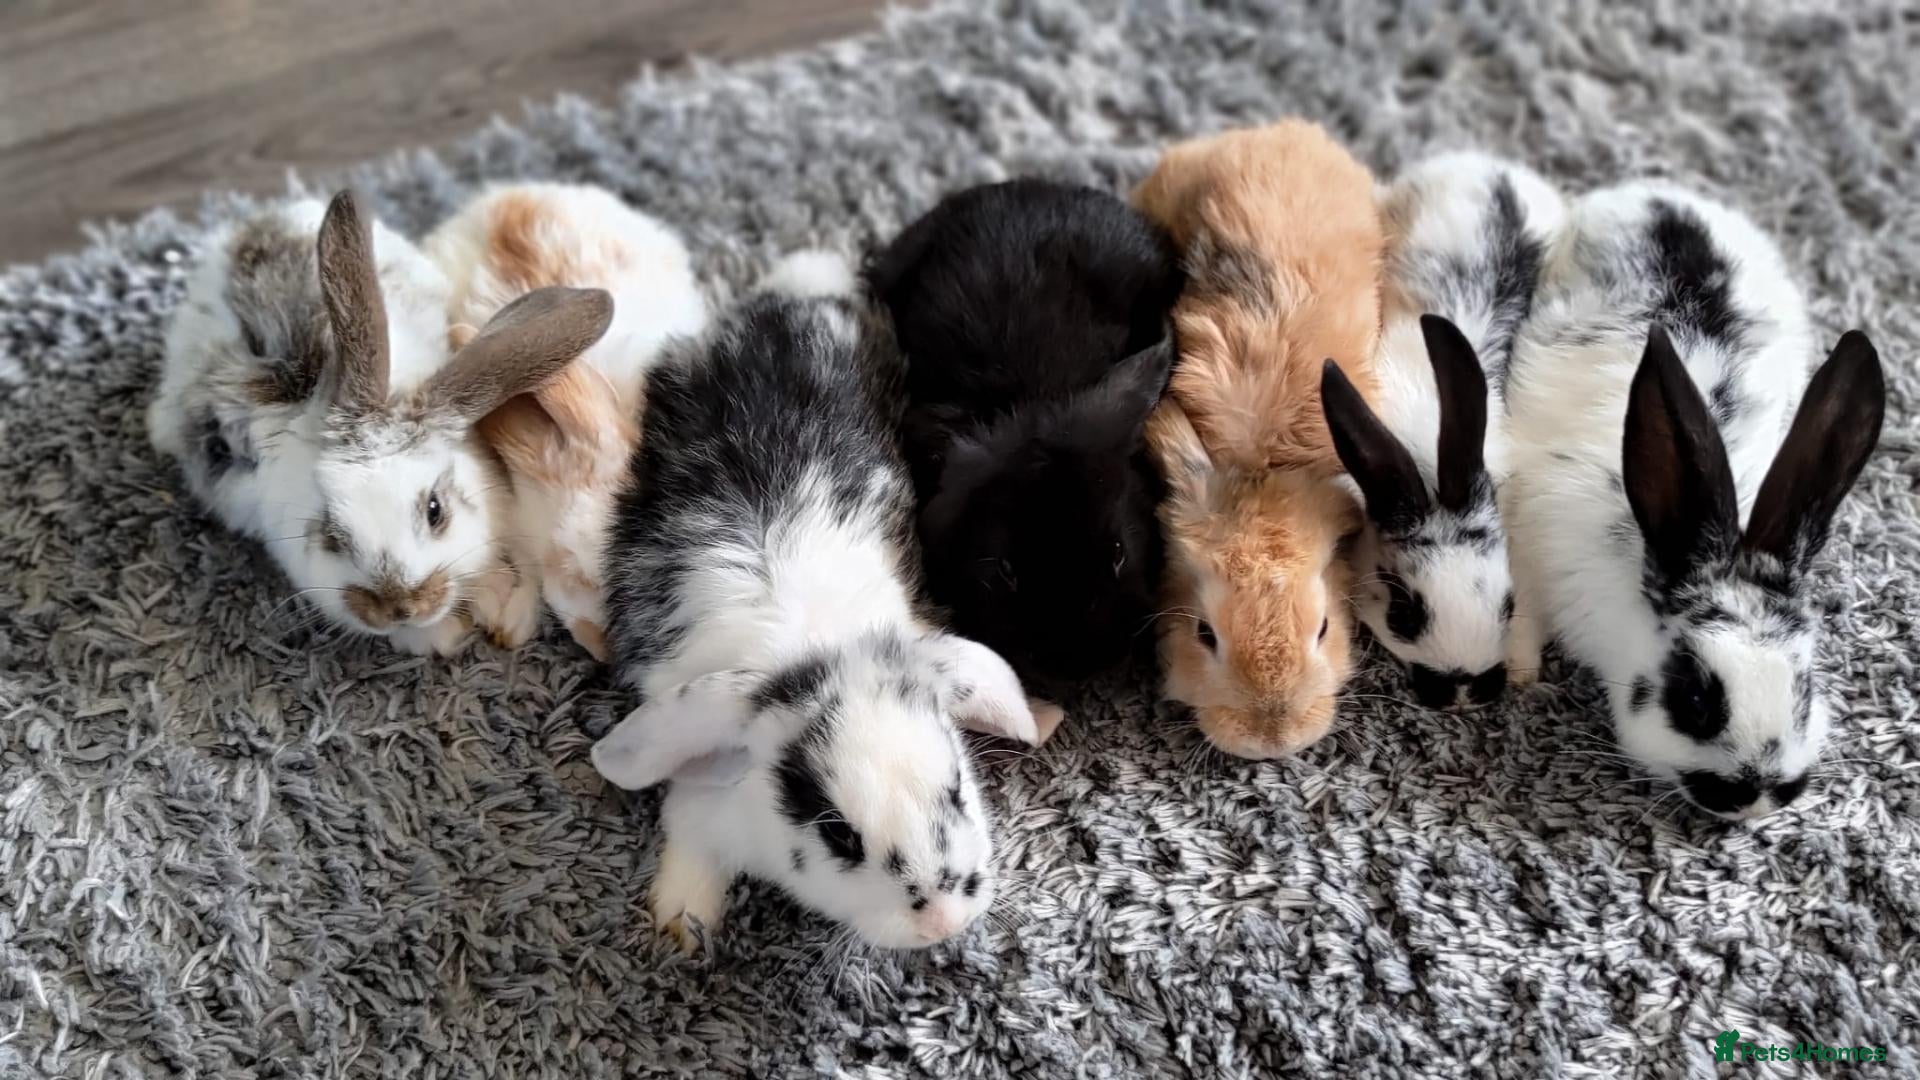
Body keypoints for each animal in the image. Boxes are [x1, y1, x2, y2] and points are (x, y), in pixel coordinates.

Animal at [589, 251, 1043, 952]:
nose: (943, 920)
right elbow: (690, 846)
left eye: (956, 791)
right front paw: (682, 926)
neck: (809, 647)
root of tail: (798, 293)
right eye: (838, 834)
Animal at [1320, 152, 1566, 710]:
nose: (1463, 693)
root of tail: (1491, 165)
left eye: (1507, 603)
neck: (1428, 466)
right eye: (1404, 610)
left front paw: (1523, 671)